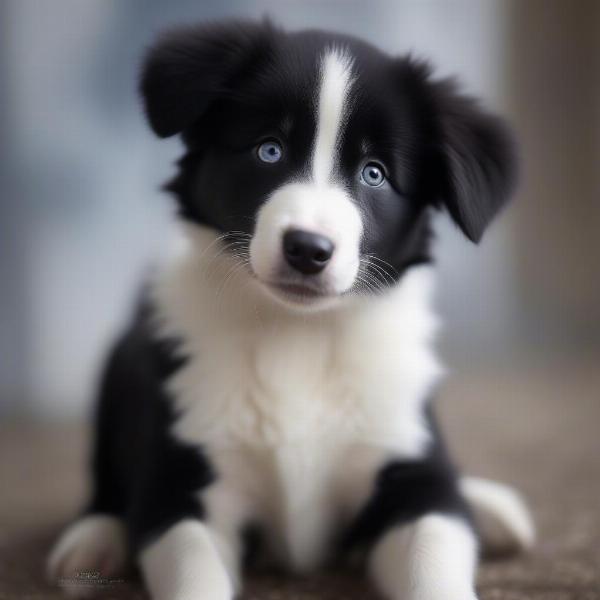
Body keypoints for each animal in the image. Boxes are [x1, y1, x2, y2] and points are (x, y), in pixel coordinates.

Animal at [48, 18, 536, 600]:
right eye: (269, 150)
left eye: (374, 173)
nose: (307, 248)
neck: (297, 334)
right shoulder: (180, 488)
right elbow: (192, 570)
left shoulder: (416, 481)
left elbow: (435, 549)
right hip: (121, 365)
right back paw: (94, 538)